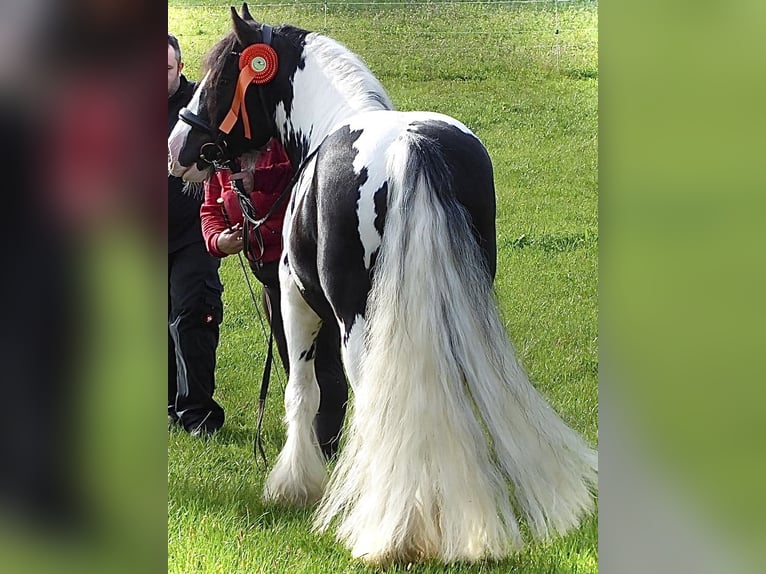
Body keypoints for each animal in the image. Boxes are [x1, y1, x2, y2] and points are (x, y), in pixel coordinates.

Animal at [168, 4, 600, 568]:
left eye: (221, 74)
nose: (178, 149)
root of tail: (412, 147)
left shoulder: (295, 299)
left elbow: (302, 392)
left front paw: (294, 485)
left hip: (357, 324)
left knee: (373, 401)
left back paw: (385, 526)